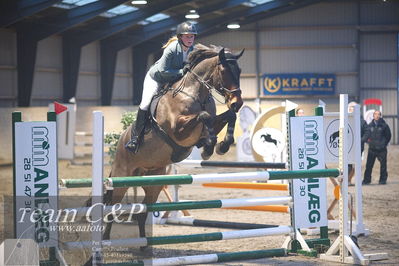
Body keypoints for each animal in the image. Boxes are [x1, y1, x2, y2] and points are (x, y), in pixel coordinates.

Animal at [101, 44, 245, 244]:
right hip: (122, 178)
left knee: (142, 212)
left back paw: (145, 245)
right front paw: (208, 146)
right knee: (111, 209)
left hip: (154, 182)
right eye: (224, 71)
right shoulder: (178, 129)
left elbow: (227, 116)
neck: (194, 93)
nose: (237, 103)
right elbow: (204, 116)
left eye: (239, 71)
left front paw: (220, 145)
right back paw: (106, 240)